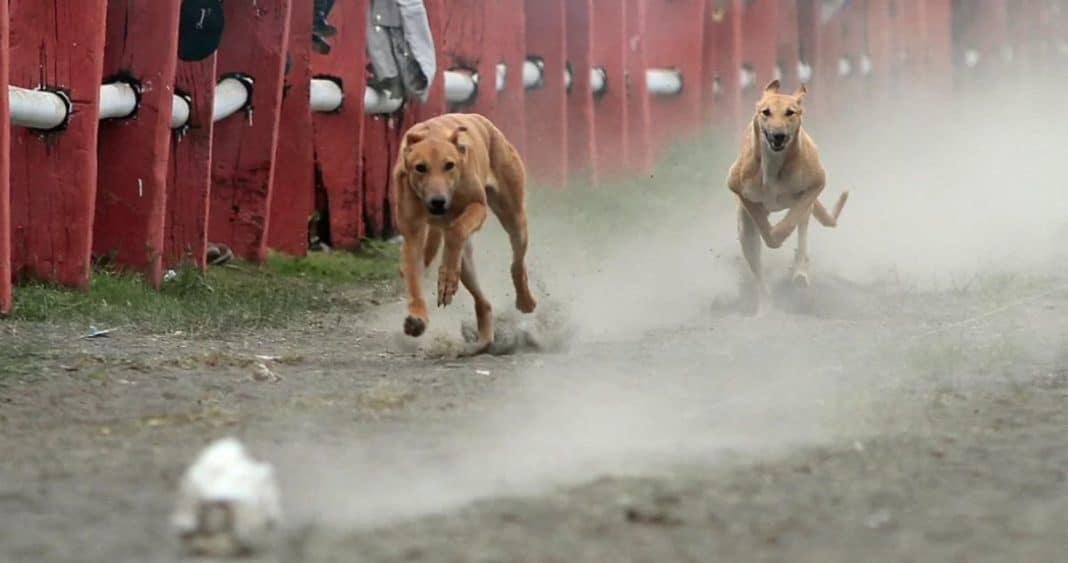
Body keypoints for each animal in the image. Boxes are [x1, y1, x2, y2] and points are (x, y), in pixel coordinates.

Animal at [393, 112, 538, 354]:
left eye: (449, 165)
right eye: (420, 167)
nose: (438, 202)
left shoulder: (477, 207)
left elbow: (457, 230)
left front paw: (446, 277)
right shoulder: (413, 232)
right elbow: (413, 274)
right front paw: (417, 317)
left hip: (514, 218)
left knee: (517, 263)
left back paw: (525, 300)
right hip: (467, 263)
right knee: (483, 301)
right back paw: (483, 340)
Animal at [726, 79, 850, 305]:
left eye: (790, 112)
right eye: (766, 112)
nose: (778, 135)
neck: (774, 166)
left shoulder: (815, 184)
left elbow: (792, 219)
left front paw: (781, 235)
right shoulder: (736, 185)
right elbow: (760, 220)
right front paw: (772, 235)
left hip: (806, 206)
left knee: (802, 229)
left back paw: (800, 272)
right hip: (745, 231)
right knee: (757, 267)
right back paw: (766, 304)